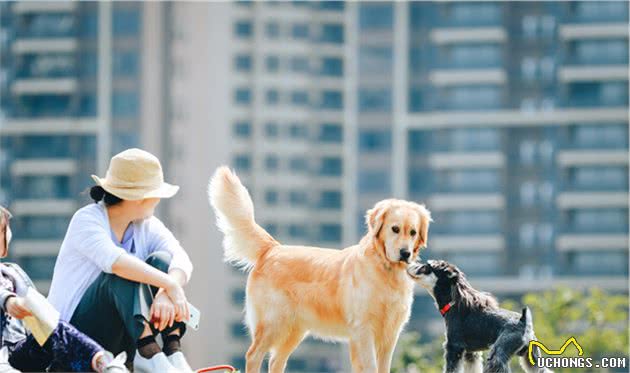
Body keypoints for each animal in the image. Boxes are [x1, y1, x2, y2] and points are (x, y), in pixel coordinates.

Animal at [408, 258, 552, 372]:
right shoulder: (471, 354)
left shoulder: (454, 347)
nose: (409, 263)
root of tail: (524, 321)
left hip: (497, 356)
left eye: (426, 266)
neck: (453, 302)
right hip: (532, 357)